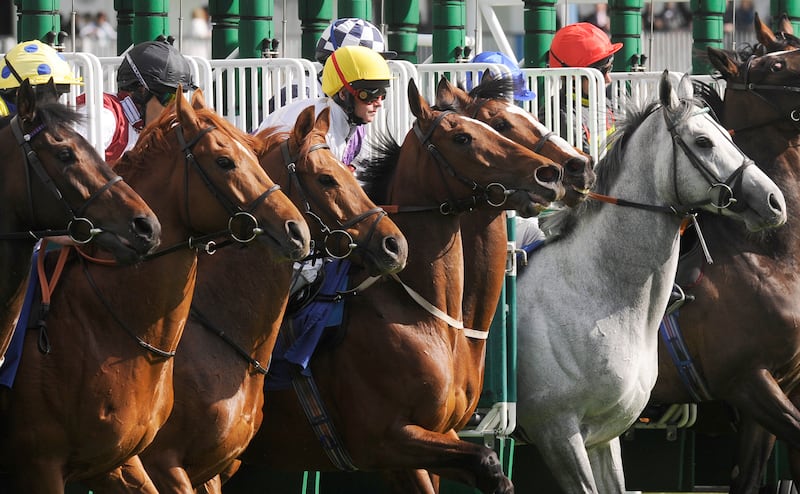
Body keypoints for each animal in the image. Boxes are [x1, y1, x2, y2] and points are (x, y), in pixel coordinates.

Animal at [234, 79, 564, 492]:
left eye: (493, 128)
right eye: (463, 137)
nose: (551, 173)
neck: (425, 314)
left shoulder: (437, 434)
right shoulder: (386, 442)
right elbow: (487, 459)